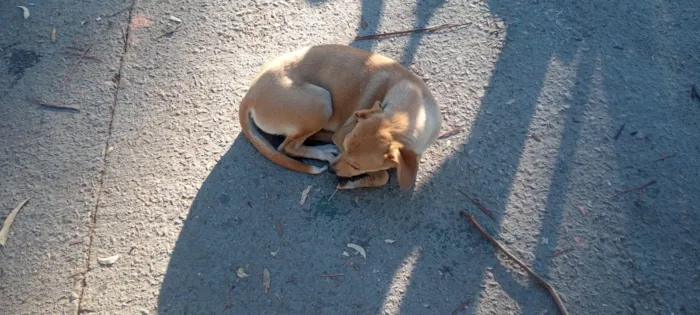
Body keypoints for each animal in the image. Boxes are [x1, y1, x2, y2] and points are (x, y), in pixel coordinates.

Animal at [238, 44, 440, 190]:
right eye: (346, 145)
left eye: (357, 166)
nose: (331, 171)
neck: (411, 108)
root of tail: (249, 96)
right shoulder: (342, 135)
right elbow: (383, 176)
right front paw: (355, 182)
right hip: (321, 102)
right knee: (286, 147)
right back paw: (325, 151)